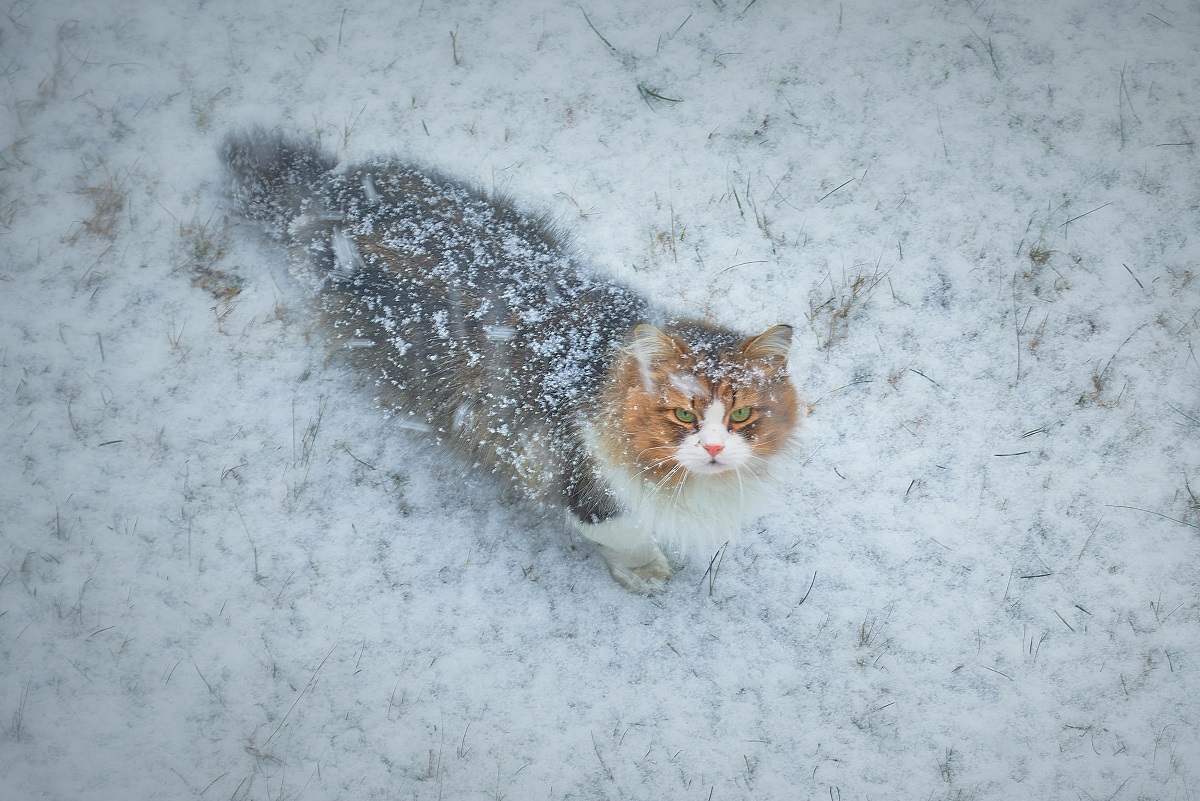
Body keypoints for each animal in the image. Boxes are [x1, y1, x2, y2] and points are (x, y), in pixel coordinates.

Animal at [220, 130, 801, 594]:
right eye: (683, 413)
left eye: (742, 414)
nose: (714, 448)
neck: (596, 371)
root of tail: (329, 183)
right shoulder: (574, 474)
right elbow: (621, 530)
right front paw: (645, 571)